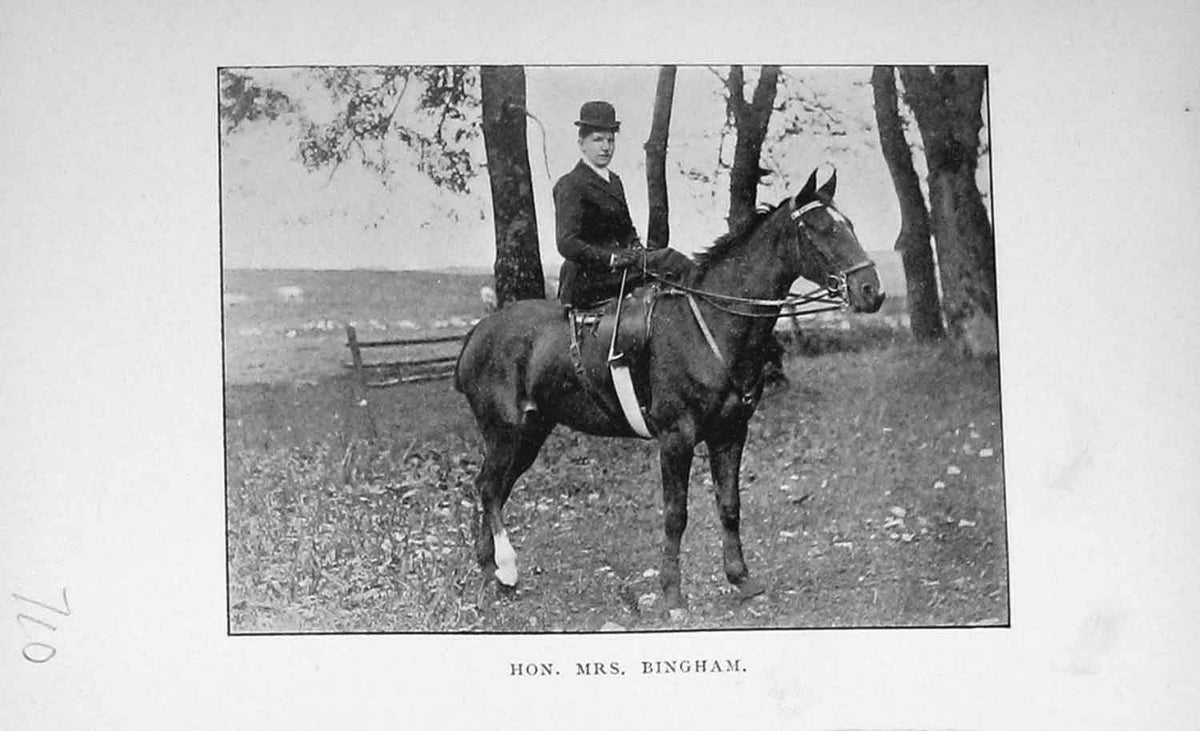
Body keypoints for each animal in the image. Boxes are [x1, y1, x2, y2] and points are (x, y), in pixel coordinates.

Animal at [453, 169, 885, 612]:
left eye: (850, 224)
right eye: (822, 228)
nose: (871, 290)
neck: (710, 324)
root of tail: (477, 333)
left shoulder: (731, 433)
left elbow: (729, 505)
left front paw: (740, 578)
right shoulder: (677, 439)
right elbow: (676, 514)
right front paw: (672, 591)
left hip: (531, 431)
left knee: (494, 488)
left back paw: (490, 571)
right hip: (504, 431)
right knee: (488, 488)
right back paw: (505, 567)